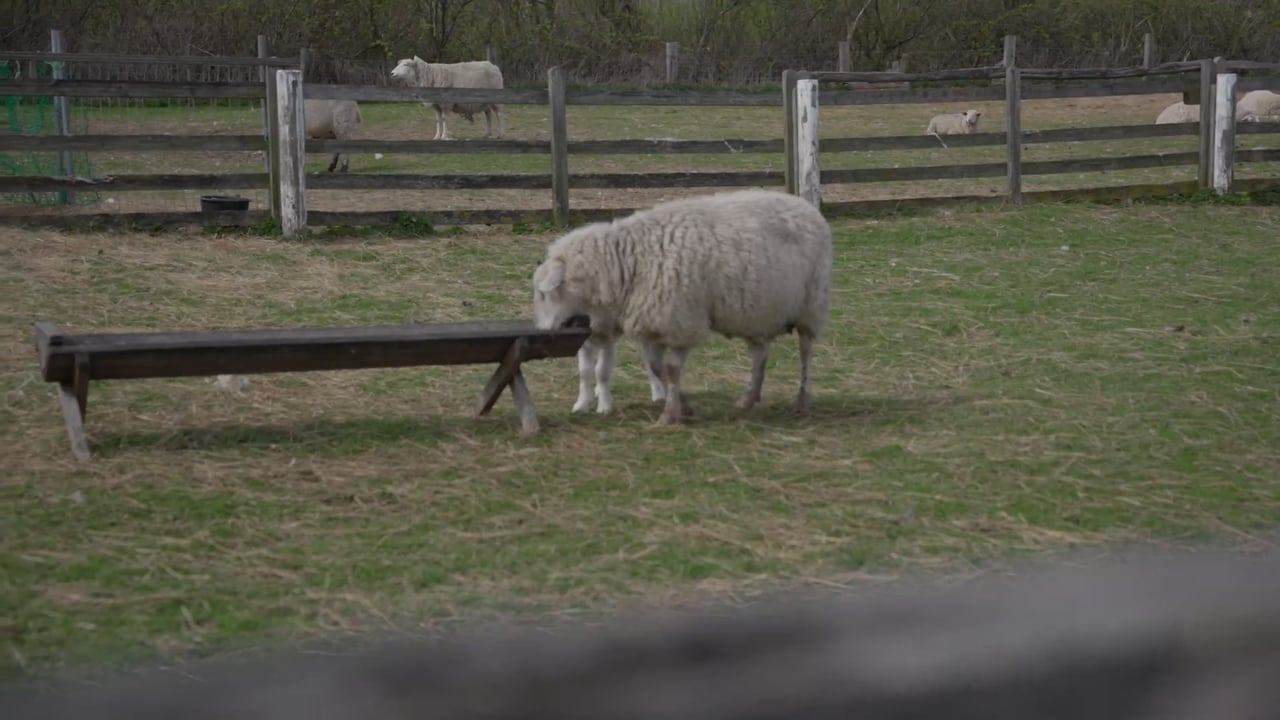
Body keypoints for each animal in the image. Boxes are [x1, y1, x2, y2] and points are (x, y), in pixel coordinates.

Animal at [532, 189, 833, 425]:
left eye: (545, 294)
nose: (542, 331)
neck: (629, 261)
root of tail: (806, 205)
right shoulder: (653, 325)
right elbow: (656, 368)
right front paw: (683, 406)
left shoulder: (680, 323)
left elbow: (671, 370)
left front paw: (670, 414)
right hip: (758, 311)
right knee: (760, 353)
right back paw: (748, 397)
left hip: (811, 306)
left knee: (805, 353)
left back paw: (802, 401)